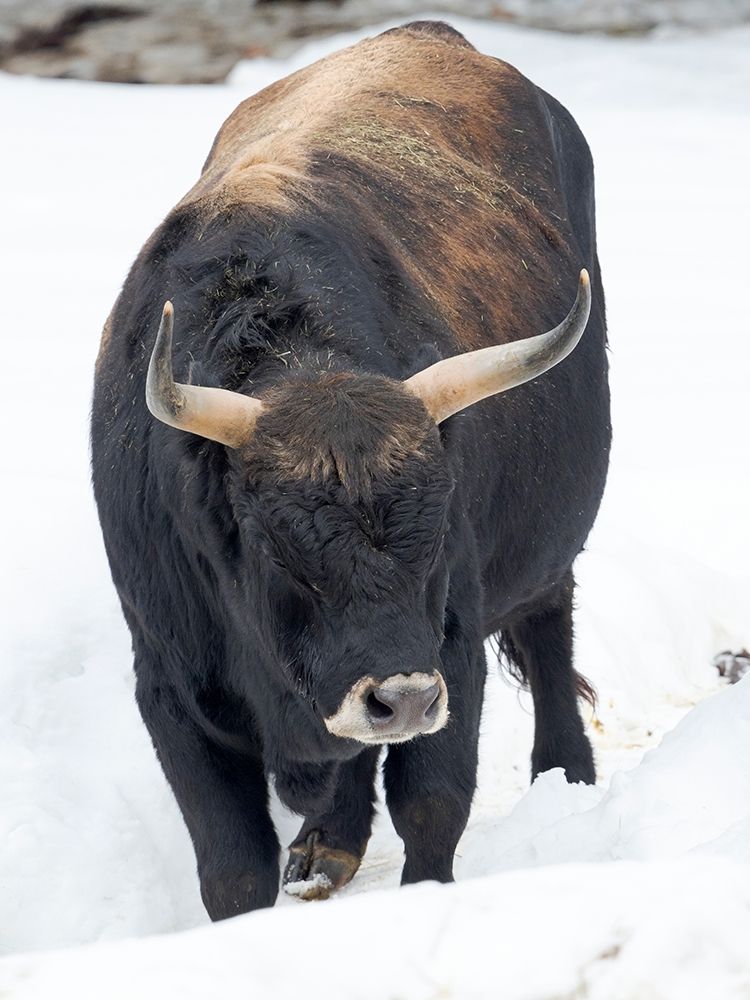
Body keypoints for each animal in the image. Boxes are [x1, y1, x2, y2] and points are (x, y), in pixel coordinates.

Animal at [91, 20, 610, 920]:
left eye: (436, 531)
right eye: (277, 546)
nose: (400, 697)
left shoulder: (452, 646)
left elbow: (433, 802)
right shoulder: (168, 683)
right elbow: (231, 866)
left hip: (548, 546)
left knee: (549, 632)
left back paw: (566, 773)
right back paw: (327, 844)